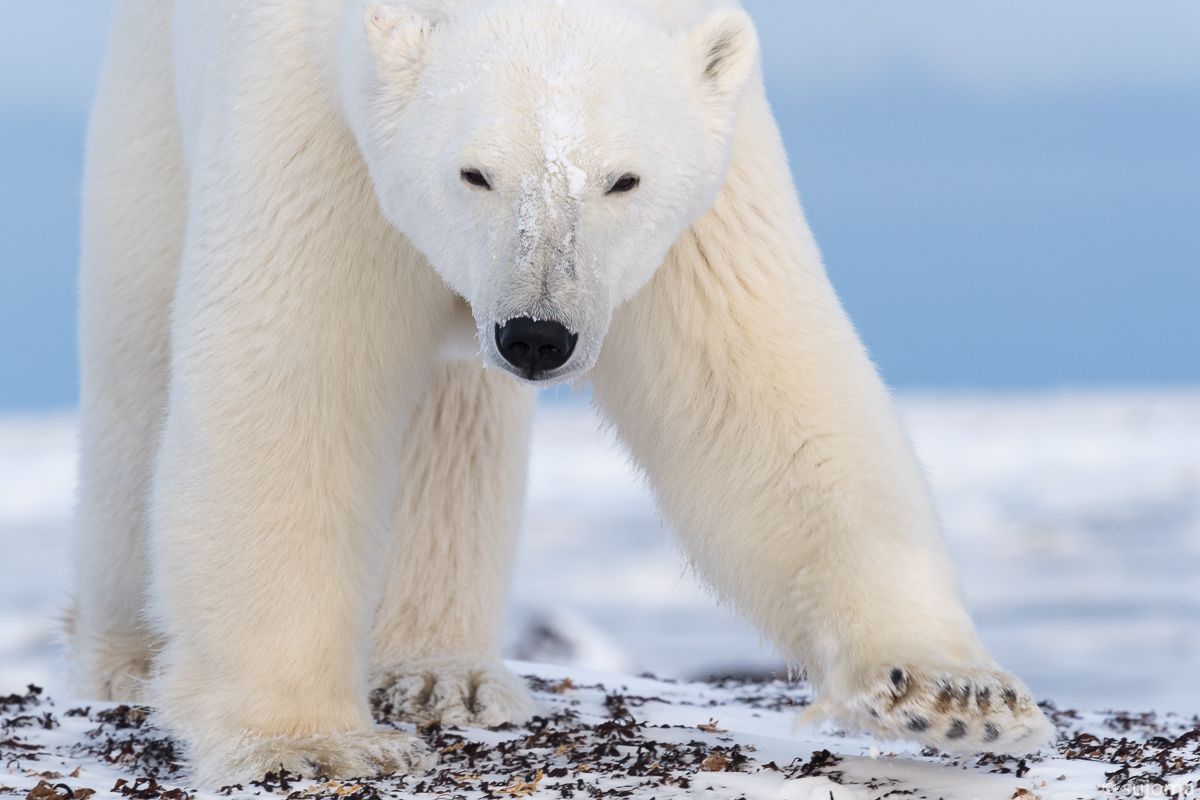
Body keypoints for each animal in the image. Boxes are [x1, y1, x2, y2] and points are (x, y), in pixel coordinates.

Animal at [72, 0, 1051, 782]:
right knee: (136, 358)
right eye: (473, 171)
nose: (536, 335)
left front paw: (953, 694)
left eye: (623, 178)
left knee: (456, 426)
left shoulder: (710, 183)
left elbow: (761, 393)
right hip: (147, 109)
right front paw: (311, 742)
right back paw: (127, 654)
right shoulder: (317, 130)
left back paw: (442, 674)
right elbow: (288, 390)